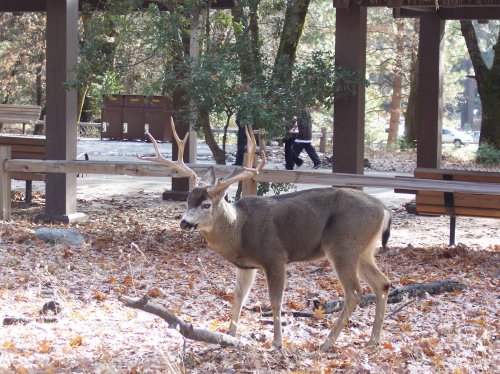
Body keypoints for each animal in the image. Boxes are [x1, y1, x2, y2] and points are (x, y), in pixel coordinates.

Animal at [139, 122, 392, 350]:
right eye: (188, 200)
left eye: (206, 205)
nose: (185, 222)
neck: (238, 229)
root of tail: (384, 210)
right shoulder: (245, 265)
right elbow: (238, 296)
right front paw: (228, 336)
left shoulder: (275, 257)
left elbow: (275, 301)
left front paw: (278, 343)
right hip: (364, 250)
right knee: (383, 283)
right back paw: (373, 342)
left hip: (344, 244)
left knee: (354, 291)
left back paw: (327, 343)